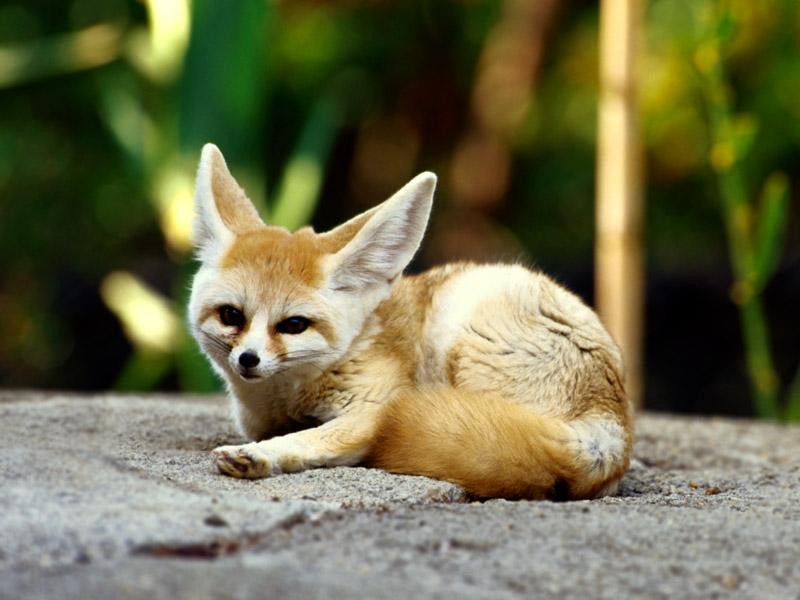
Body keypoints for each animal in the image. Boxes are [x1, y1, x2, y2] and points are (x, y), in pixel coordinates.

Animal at [188, 143, 632, 500]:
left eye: (294, 325)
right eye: (232, 315)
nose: (248, 360)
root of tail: (615, 428)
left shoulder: (370, 410)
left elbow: (309, 439)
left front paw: (260, 455)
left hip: (463, 326)